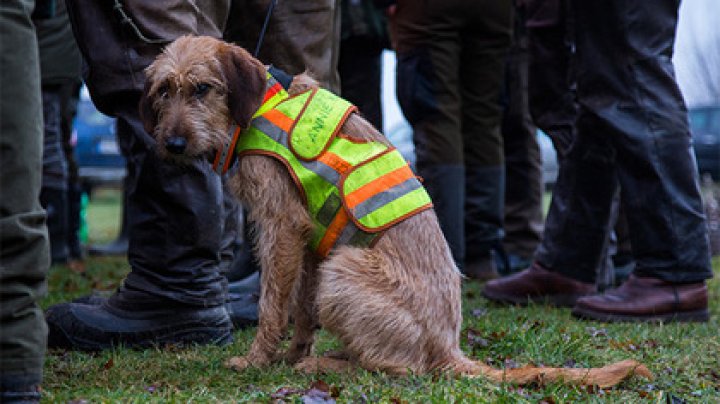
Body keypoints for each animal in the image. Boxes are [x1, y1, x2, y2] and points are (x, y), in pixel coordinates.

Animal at [141, 35, 652, 388]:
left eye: (203, 88)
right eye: (164, 90)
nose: (172, 144)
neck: (262, 104)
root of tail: (448, 348)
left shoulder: (281, 227)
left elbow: (272, 306)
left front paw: (257, 360)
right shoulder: (309, 243)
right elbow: (301, 311)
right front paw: (289, 355)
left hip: (343, 270)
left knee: (399, 369)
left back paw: (326, 364)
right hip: (334, 266)